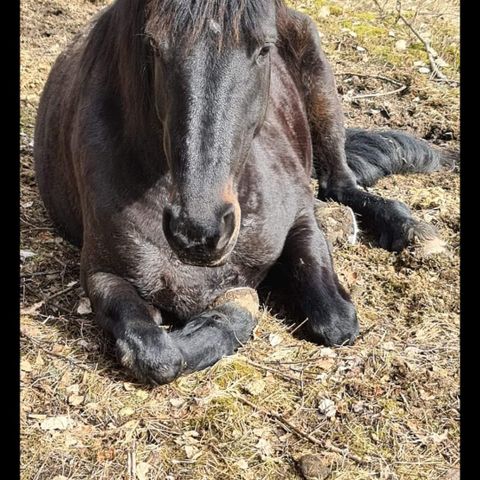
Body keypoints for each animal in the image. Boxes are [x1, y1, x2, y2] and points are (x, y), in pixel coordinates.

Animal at [34, 0, 458, 382]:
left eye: (265, 48)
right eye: (152, 44)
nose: (198, 232)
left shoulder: (298, 217)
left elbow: (334, 319)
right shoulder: (101, 272)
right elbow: (156, 355)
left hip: (322, 94)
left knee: (341, 184)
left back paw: (407, 228)